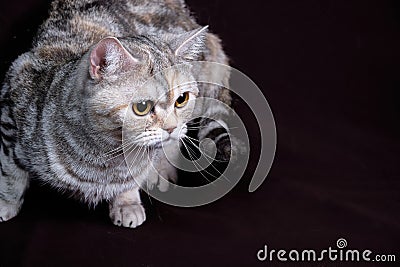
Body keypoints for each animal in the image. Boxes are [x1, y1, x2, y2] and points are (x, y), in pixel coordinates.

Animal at [0, 0, 233, 229]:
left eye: (181, 99)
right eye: (142, 107)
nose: (171, 127)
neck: (107, 156)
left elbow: (131, 179)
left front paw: (126, 202)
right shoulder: (11, 106)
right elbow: (11, 173)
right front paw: (6, 202)